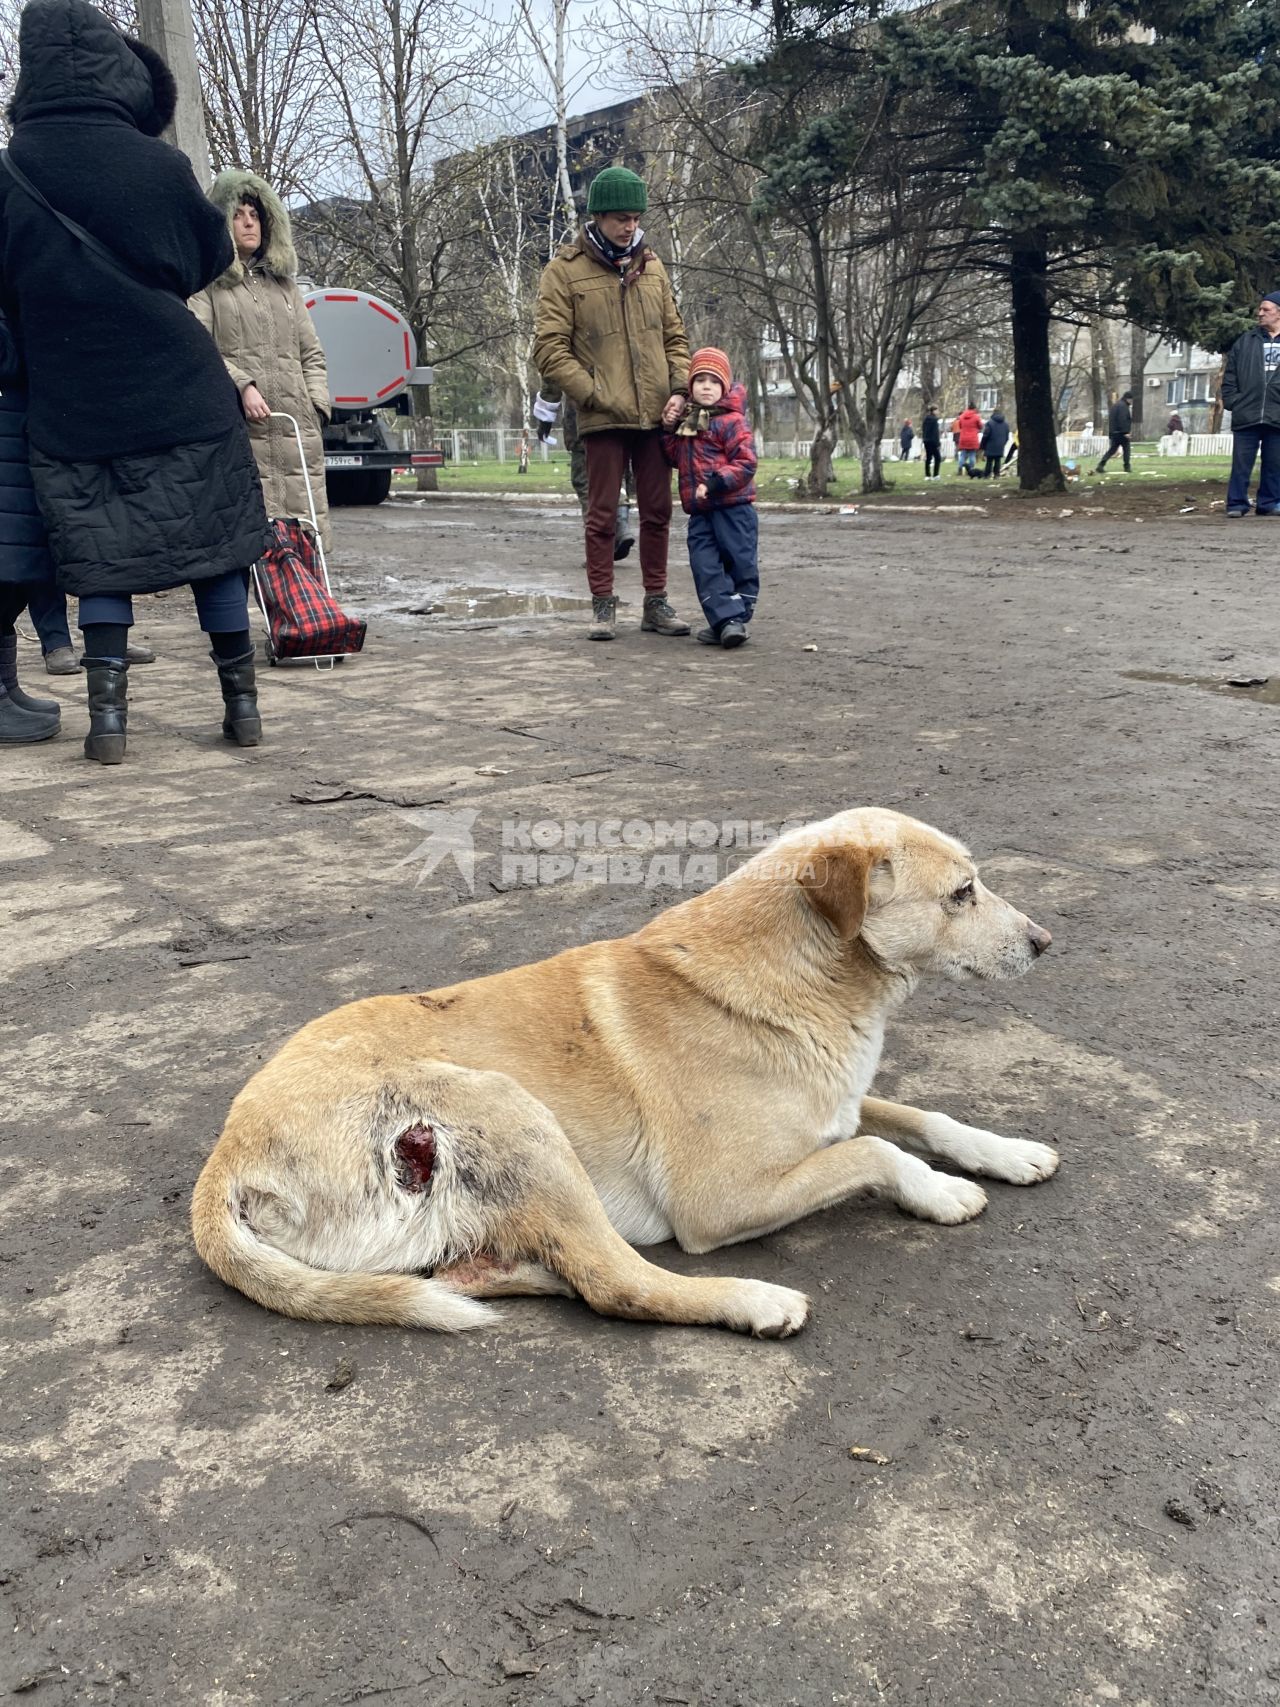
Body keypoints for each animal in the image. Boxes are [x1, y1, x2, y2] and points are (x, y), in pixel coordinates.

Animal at [190, 805, 1051, 1338]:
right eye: (962, 893)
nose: (1046, 942)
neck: (803, 974)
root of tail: (228, 1153)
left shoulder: (838, 1102)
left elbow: (918, 1117)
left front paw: (1006, 1151)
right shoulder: (723, 1198)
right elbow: (878, 1149)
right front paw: (940, 1192)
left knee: (515, 1271)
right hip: (512, 1109)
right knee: (618, 1282)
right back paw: (752, 1300)